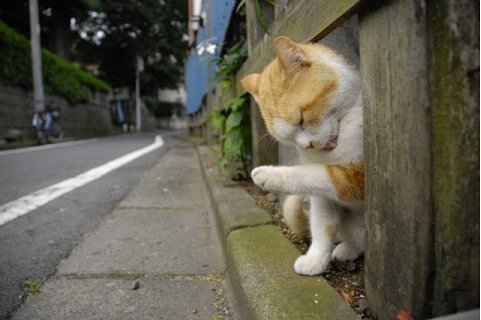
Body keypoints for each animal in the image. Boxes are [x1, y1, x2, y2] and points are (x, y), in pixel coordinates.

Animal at [242, 35, 362, 276]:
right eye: (288, 139)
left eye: (302, 120)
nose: (308, 145)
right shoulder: (325, 199)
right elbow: (322, 226)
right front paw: (316, 259)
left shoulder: (355, 176)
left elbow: (310, 173)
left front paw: (270, 175)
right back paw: (348, 249)